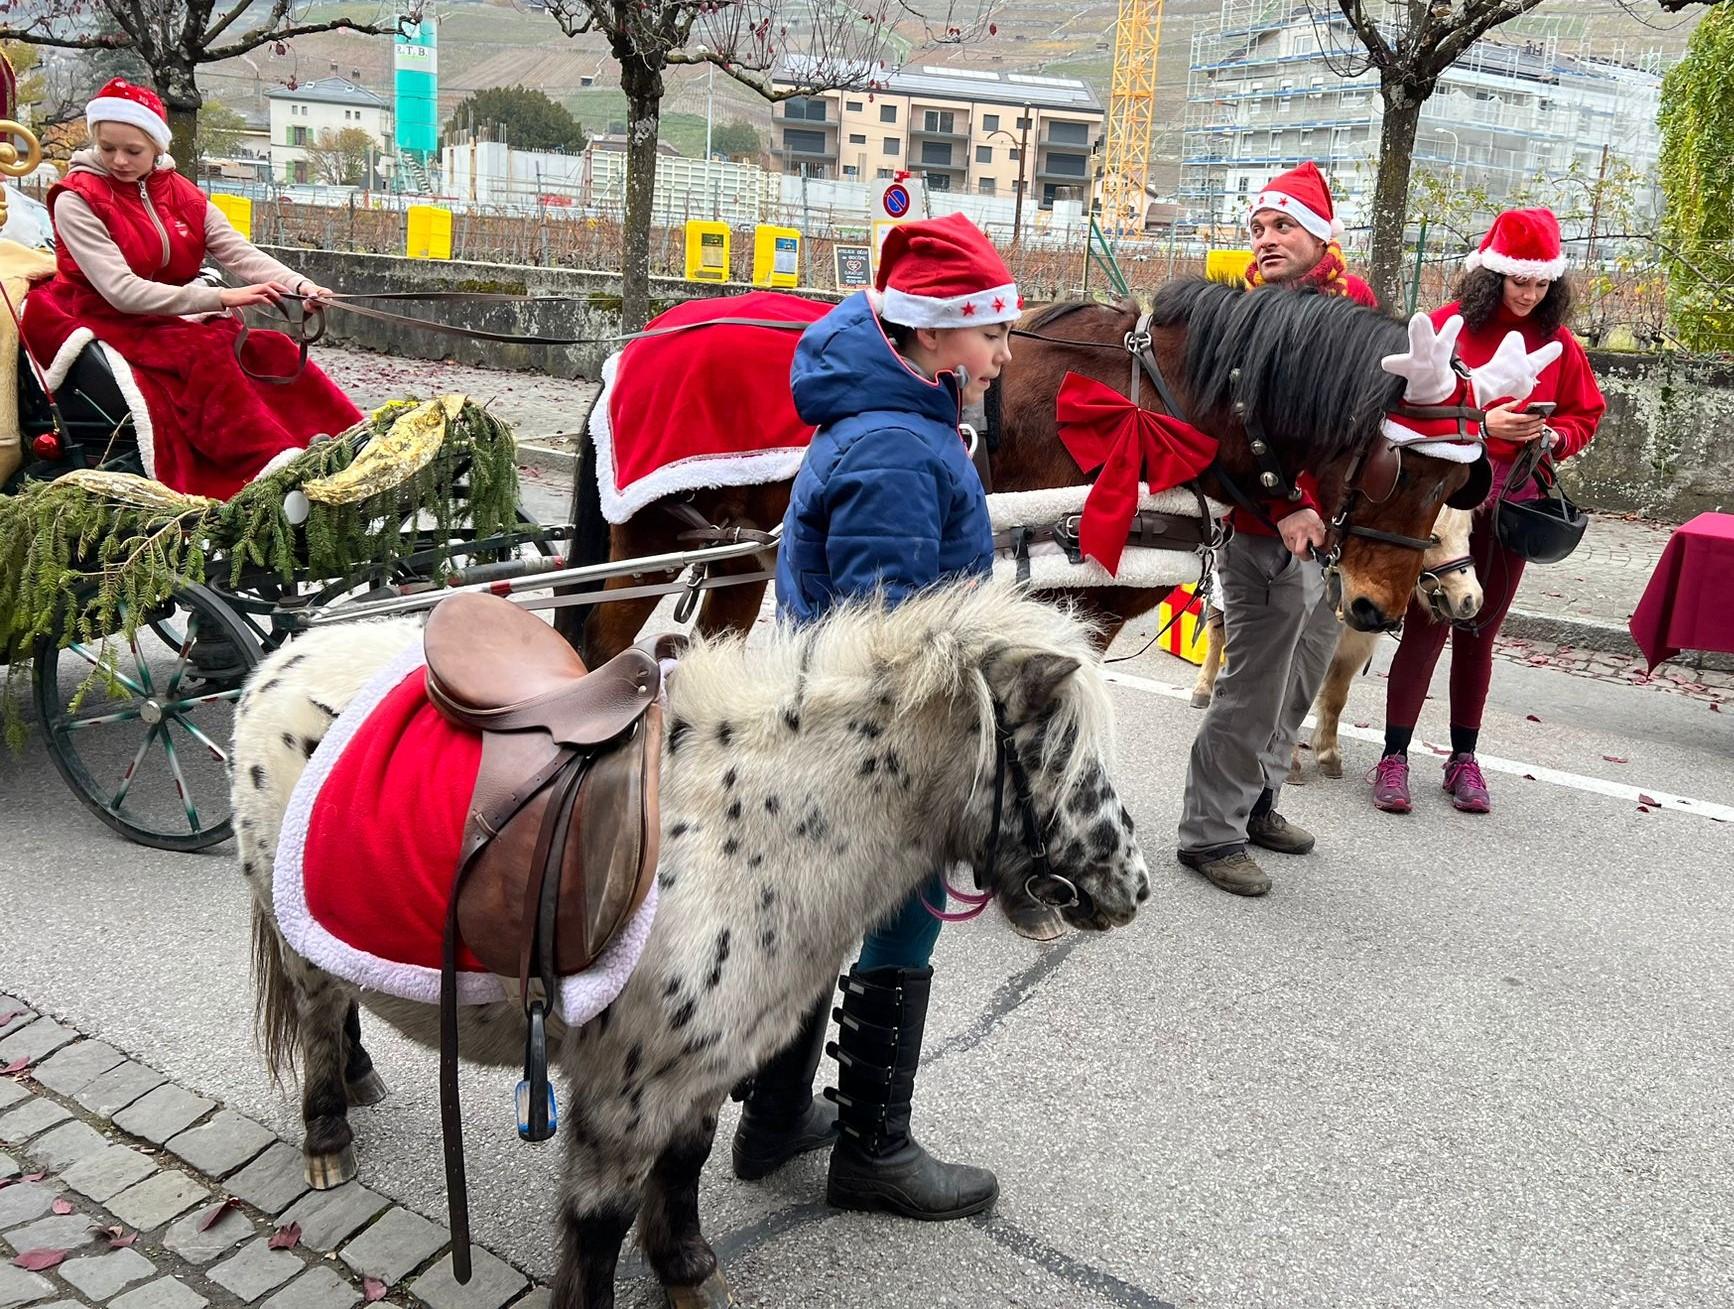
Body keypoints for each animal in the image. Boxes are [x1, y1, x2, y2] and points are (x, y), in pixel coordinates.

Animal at [230, 582, 1151, 1309]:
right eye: (1060, 754)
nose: (1133, 888)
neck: (749, 832)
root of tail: (286, 652)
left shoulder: (702, 1071)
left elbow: (687, 1163)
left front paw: (687, 1269)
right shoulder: (624, 1098)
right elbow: (598, 1224)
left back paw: (361, 1076)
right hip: (298, 945)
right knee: (317, 1014)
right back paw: (327, 1139)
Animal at [558, 279, 1477, 665]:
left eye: (1458, 484)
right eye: (1397, 465)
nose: (1378, 609)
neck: (1158, 400)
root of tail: (641, 341)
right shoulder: (1068, 593)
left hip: (744, 550)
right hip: (643, 539)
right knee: (597, 641)